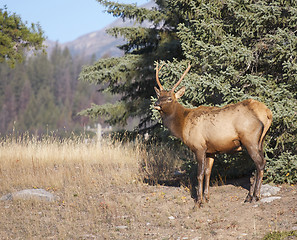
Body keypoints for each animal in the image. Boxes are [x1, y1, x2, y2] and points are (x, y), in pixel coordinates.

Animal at [154, 62, 272, 207]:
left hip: (250, 139)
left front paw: (198, 201)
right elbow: (208, 172)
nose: (156, 104)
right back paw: (250, 196)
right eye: (159, 96)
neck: (182, 125)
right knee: (259, 163)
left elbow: (199, 174)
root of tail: (267, 113)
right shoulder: (211, 150)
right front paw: (206, 198)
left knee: (260, 163)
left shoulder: (199, 146)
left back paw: (254, 197)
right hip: (261, 140)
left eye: (170, 98)